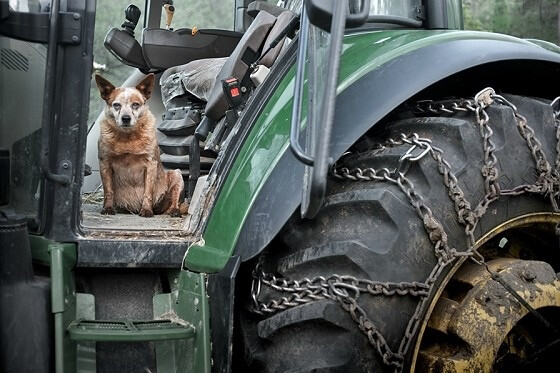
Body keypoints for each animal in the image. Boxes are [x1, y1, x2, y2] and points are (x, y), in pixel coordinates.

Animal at [93, 73, 186, 217]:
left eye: (135, 105)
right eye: (116, 105)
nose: (126, 118)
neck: (127, 138)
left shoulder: (150, 164)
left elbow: (148, 192)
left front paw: (146, 210)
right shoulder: (104, 163)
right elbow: (108, 191)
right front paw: (108, 208)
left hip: (176, 175)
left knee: (174, 201)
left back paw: (174, 210)